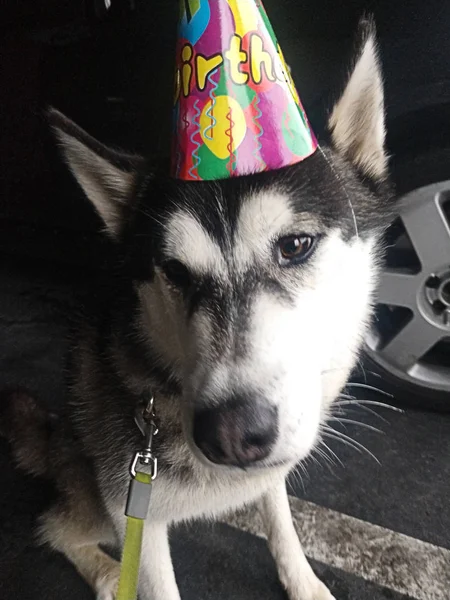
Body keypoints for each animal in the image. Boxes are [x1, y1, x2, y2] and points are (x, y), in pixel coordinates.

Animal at [0, 21, 392, 600]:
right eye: (176, 272)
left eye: (296, 245)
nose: (231, 434)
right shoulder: (133, 513)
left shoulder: (271, 468)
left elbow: (280, 517)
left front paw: (302, 580)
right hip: (93, 498)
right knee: (53, 525)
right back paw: (106, 573)